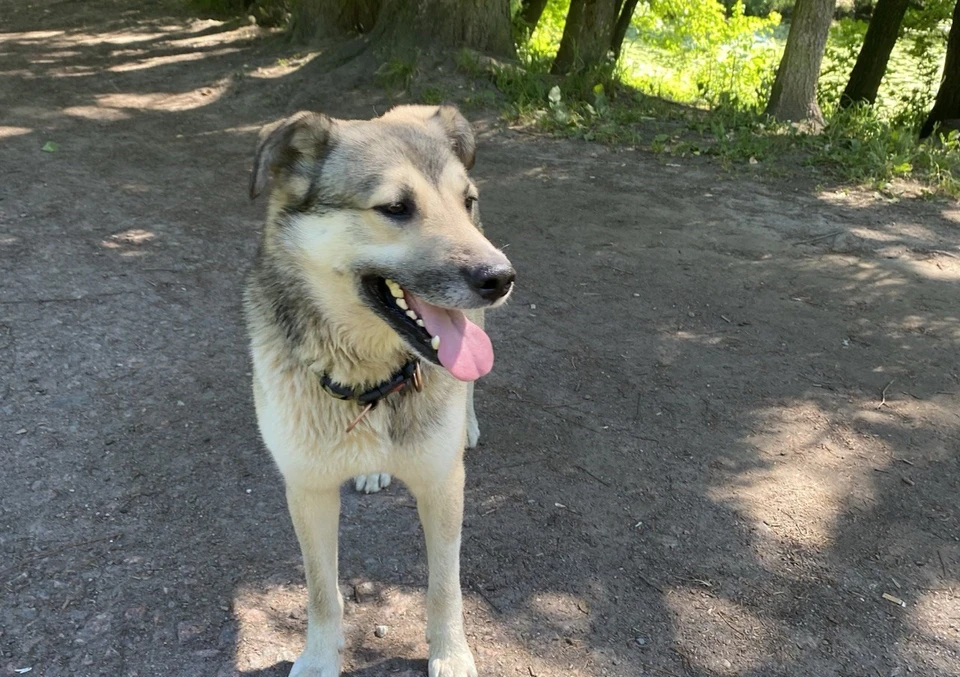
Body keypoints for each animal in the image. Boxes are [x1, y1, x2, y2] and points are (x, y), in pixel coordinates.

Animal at [246, 105, 516, 676]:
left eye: (466, 201)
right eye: (395, 207)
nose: (502, 278)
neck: (370, 378)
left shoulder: (443, 485)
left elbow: (445, 589)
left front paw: (451, 656)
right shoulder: (307, 489)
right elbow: (321, 591)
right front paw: (318, 659)